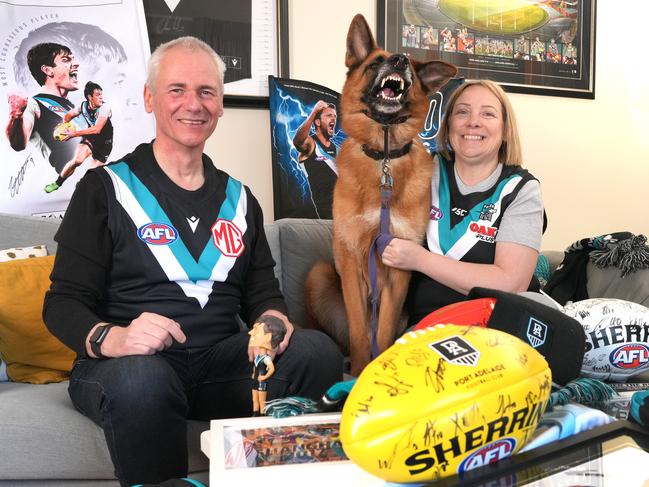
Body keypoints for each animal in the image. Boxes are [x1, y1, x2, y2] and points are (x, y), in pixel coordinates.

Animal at [304, 13, 456, 376]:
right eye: (374, 63)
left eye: (411, 67)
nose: (400, 60)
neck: (384, 155)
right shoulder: (350, 258)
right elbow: (362, 330)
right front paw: (361, 370)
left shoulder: (398, 266)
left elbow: (383, 329)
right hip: (319, 274)